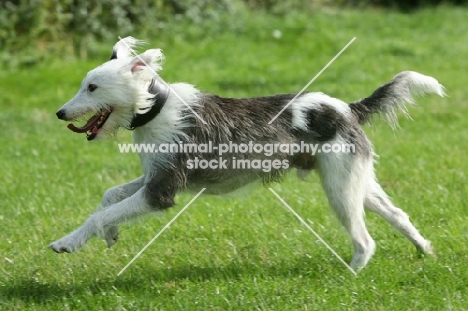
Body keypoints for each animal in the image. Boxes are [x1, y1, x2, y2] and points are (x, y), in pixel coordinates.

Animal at [51, 36, 446, 270]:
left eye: (92, 87)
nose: (59, 113)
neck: (157, 108)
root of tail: (348, 108)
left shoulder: (160, 191)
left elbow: (98, 215)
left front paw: (69, 242)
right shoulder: (153, 176)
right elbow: (109, 196)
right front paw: (111, 234)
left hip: (340, 190)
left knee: (365, 241)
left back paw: (351, 273)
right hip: (357, 182)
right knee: (398, 215)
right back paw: (424, 249)